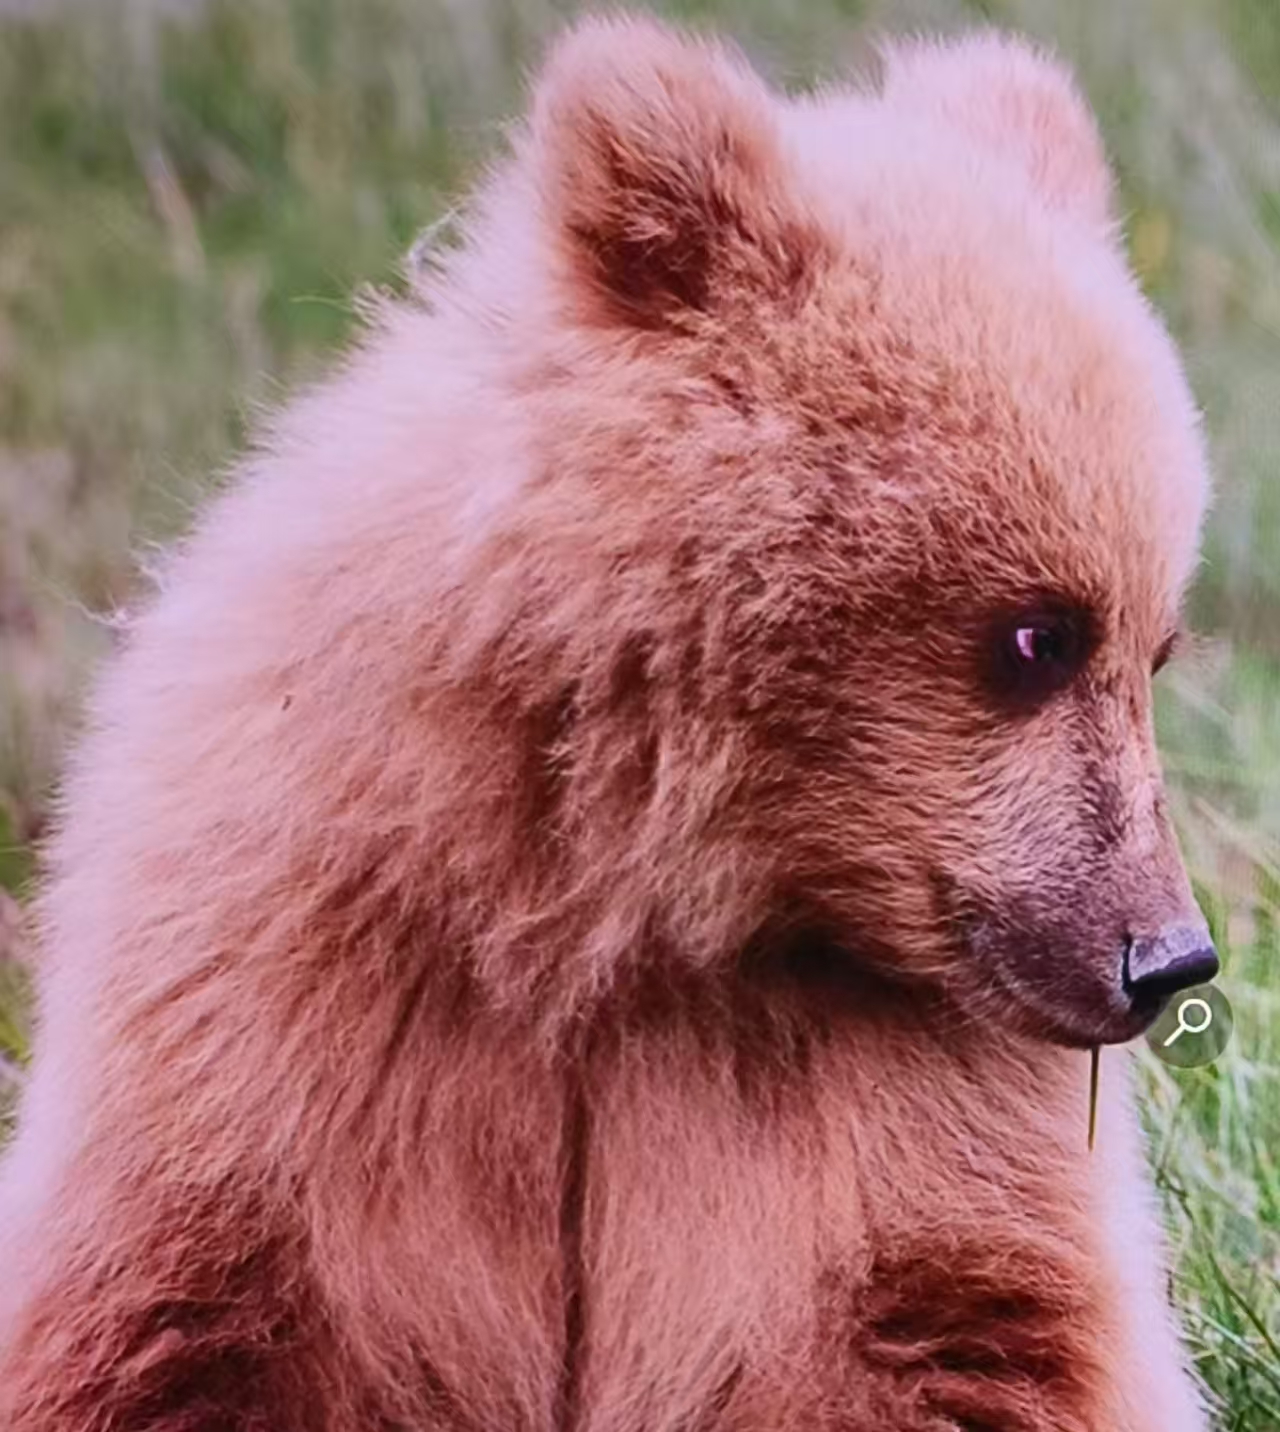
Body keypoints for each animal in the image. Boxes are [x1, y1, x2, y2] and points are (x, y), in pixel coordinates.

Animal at [0, 14, 1217, 1432]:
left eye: (1155, 642)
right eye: (1036, 634)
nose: (1166, 956)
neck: (610, 901)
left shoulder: (880, 1086)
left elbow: (949, 1320)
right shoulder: (295, 1002)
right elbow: (189, 1319)